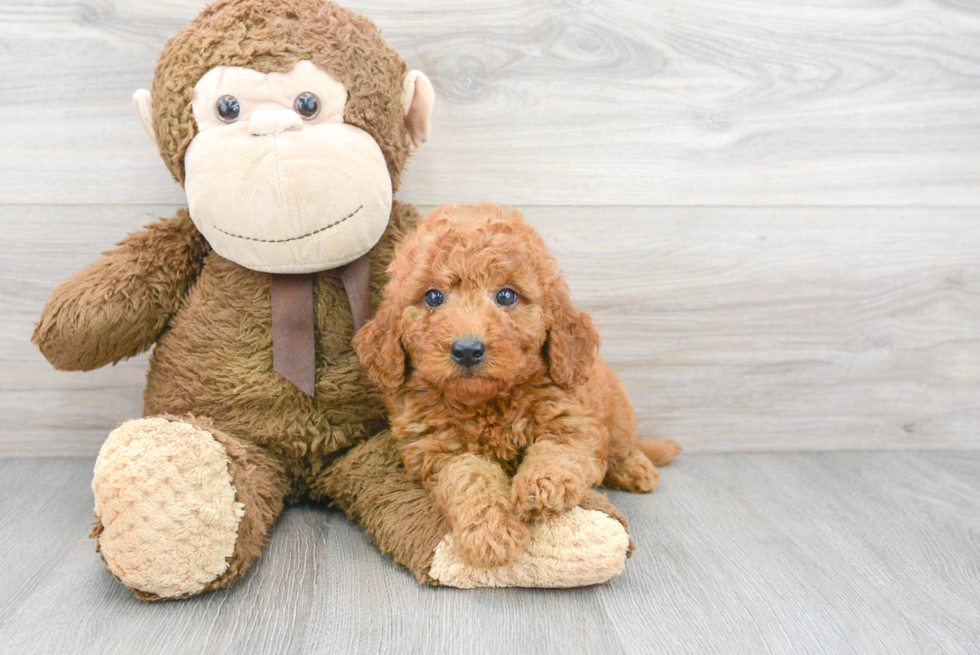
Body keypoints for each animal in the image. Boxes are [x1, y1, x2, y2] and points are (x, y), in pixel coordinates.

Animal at [354, 204, 680, 568]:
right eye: (433, 297)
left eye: (506, 295)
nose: (467, 349)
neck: (486, 403)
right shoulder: (436, 450)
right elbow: (469, 477)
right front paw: (491, 532)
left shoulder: (573, 421)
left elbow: (557, 451)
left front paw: (543, 486)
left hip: (619, 417)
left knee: (624, 448)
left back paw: (638, 468)